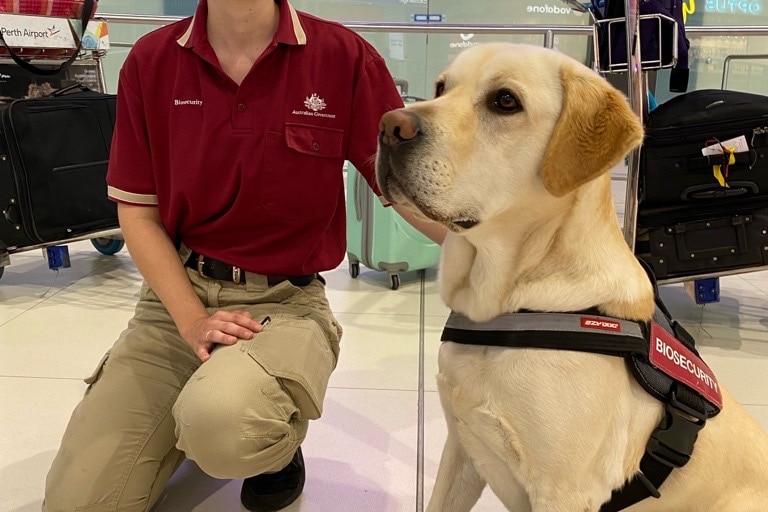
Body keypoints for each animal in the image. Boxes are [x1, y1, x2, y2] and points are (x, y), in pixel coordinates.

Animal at [376, 44, 768, 512]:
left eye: (505, 101)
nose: (389, 125)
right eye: (440, 88)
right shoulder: (462, 447)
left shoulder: (562, 492)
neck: (512, 305)